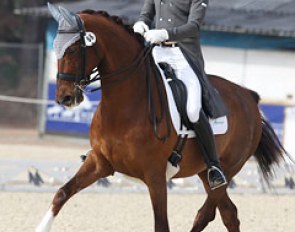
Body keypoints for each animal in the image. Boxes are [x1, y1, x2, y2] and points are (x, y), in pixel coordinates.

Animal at [35, 5, 288, 232]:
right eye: (56, 48)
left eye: (73, 50)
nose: (65, 97)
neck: (124, 106)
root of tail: (249, 96)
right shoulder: (99, 162)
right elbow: (61, 194)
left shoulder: (155, 176)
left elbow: (161, 225)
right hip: (204, 172)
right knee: (227, 213)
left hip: (226, 170)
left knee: (210, 212)